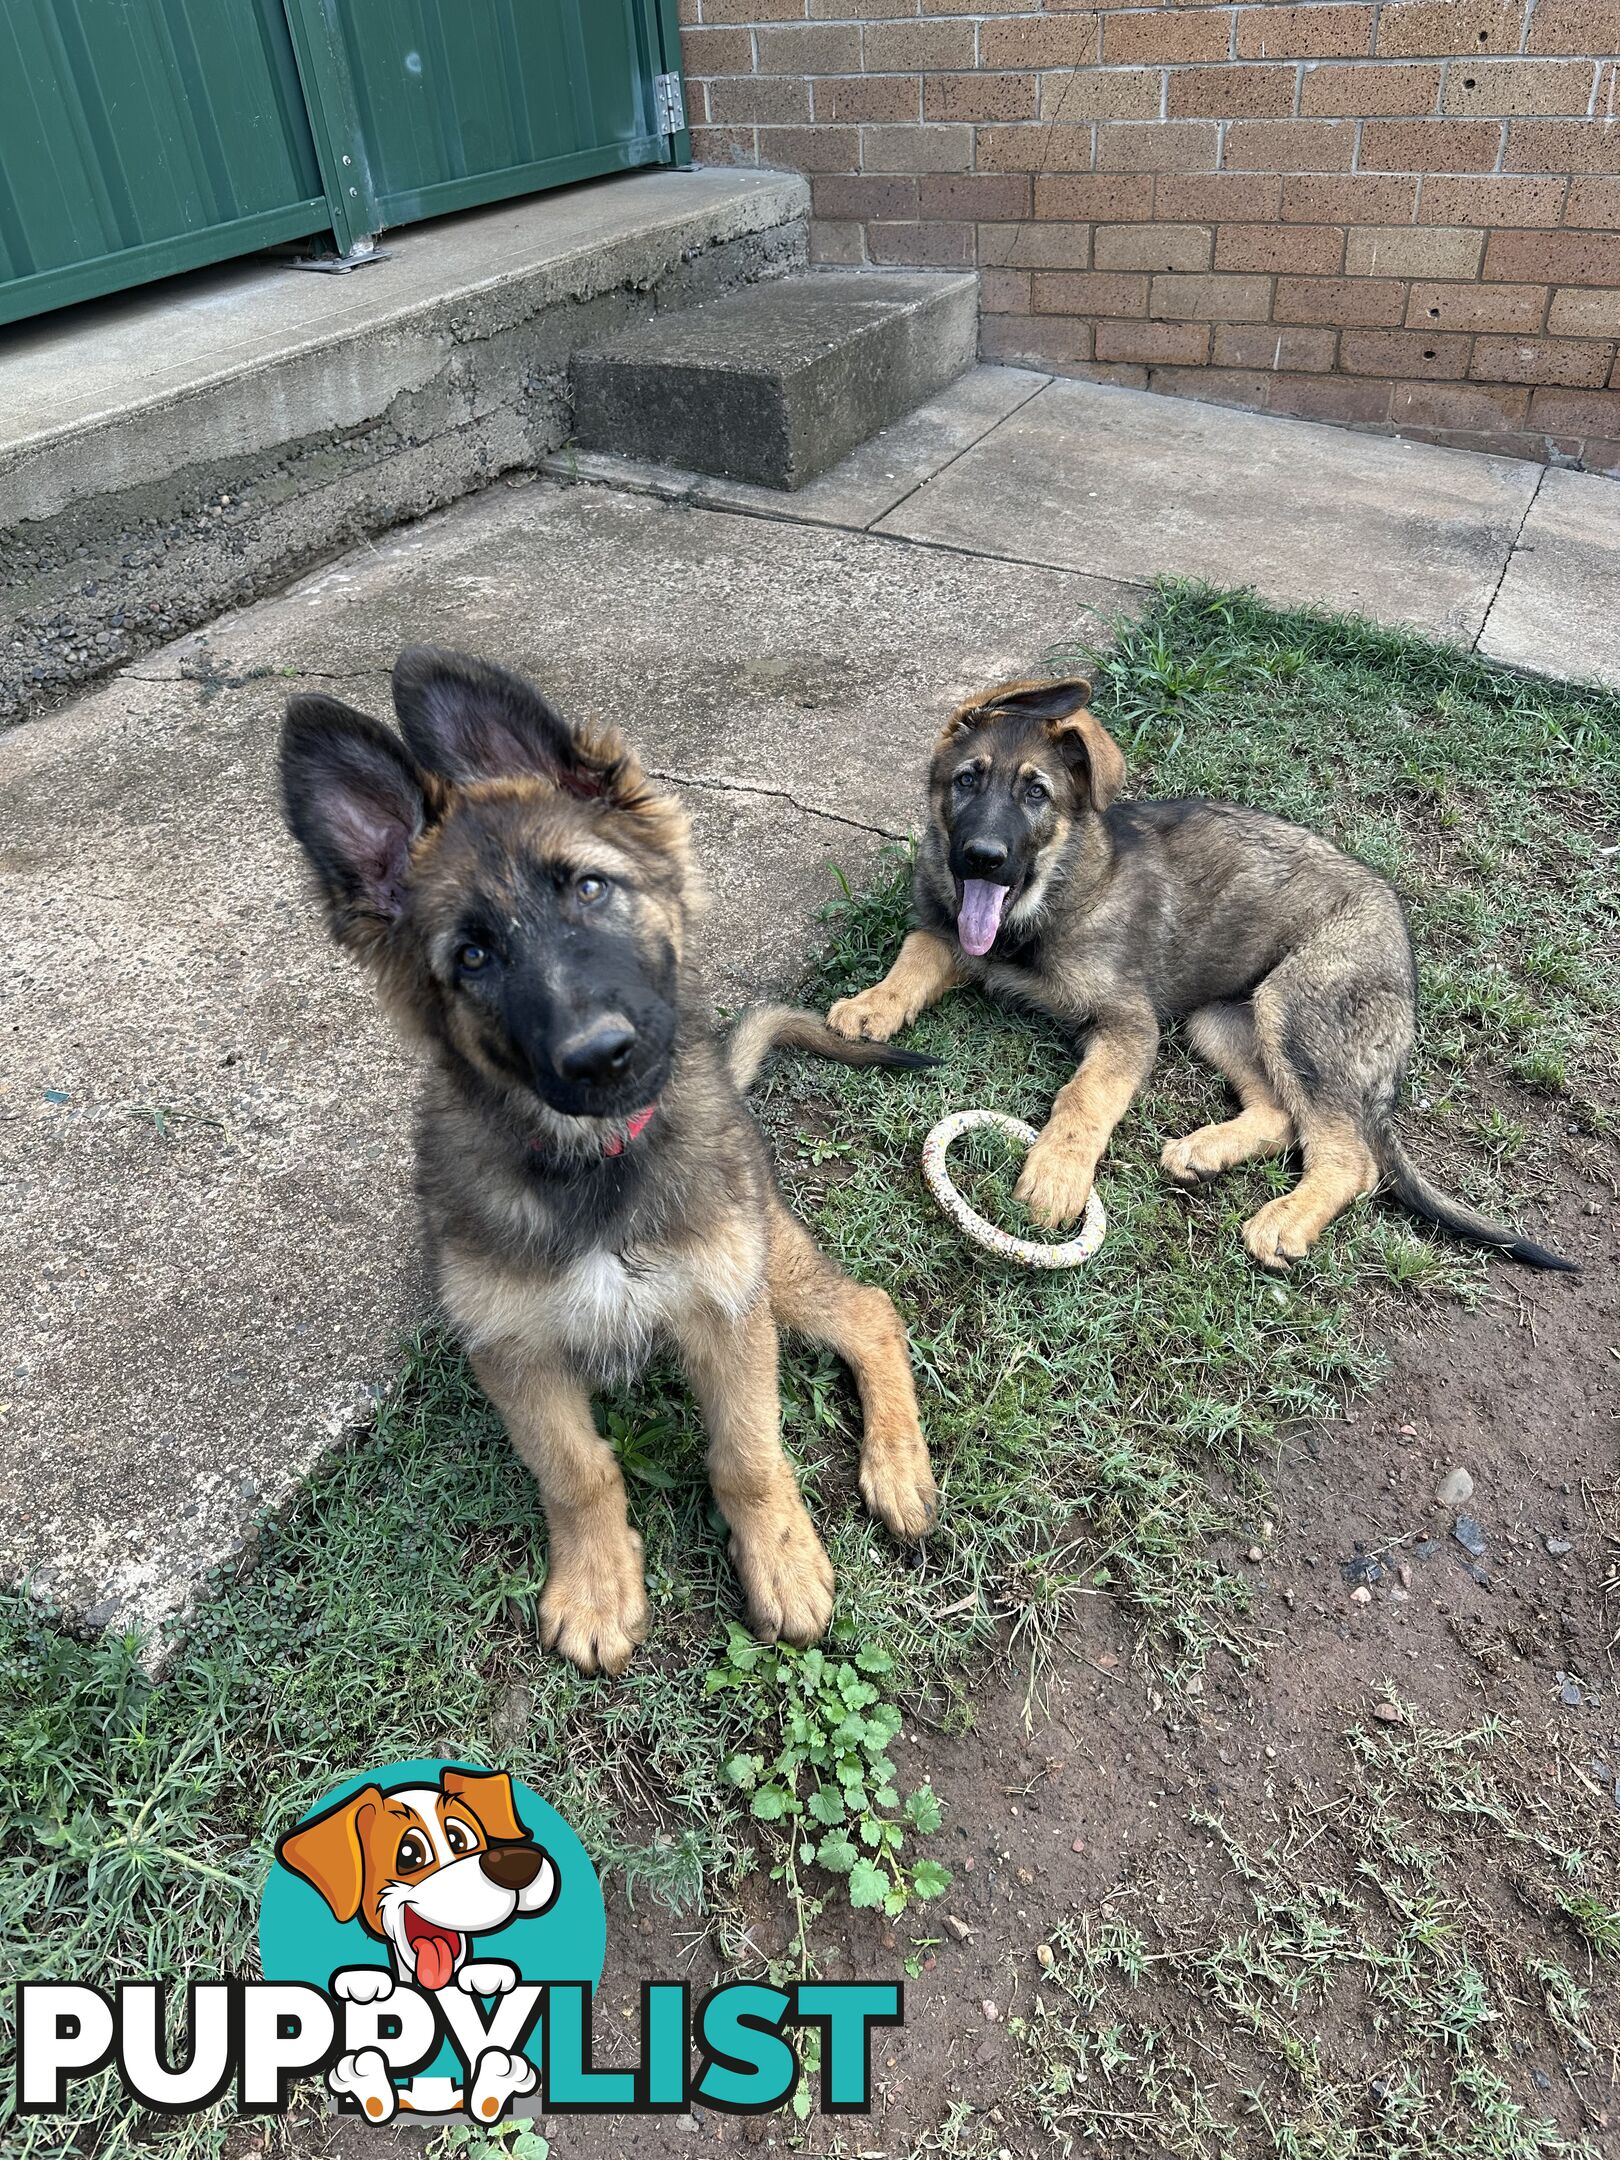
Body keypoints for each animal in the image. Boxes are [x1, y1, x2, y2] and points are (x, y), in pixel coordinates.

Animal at [280, 648, 937, 1676]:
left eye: (587, 889)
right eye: (473, 957)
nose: (600, 1057)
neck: (596, 1167)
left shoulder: (726, 1307)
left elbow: (748, 1456)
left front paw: (781, 1557)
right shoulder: (514, 1350)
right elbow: (577, 1472)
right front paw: (596, 1584)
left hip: (768, 1259)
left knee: (870, 1311)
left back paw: (898, 1464)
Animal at [829, 682, 1563, 1270]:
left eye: (1036, 793)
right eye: (966, 780)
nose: (982, 857)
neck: (1044, 900)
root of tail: (1397, 927)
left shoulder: (1129, 1023)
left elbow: (1085, 1096)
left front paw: (1057, 1172)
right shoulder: (946, 930)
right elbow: (916, 956)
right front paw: (872, 1004)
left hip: (1295, 1008)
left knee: (1351, 1157)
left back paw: (1286, 1219)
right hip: (1222, 1019)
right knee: (1283, 1114)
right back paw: (1206, 1151)